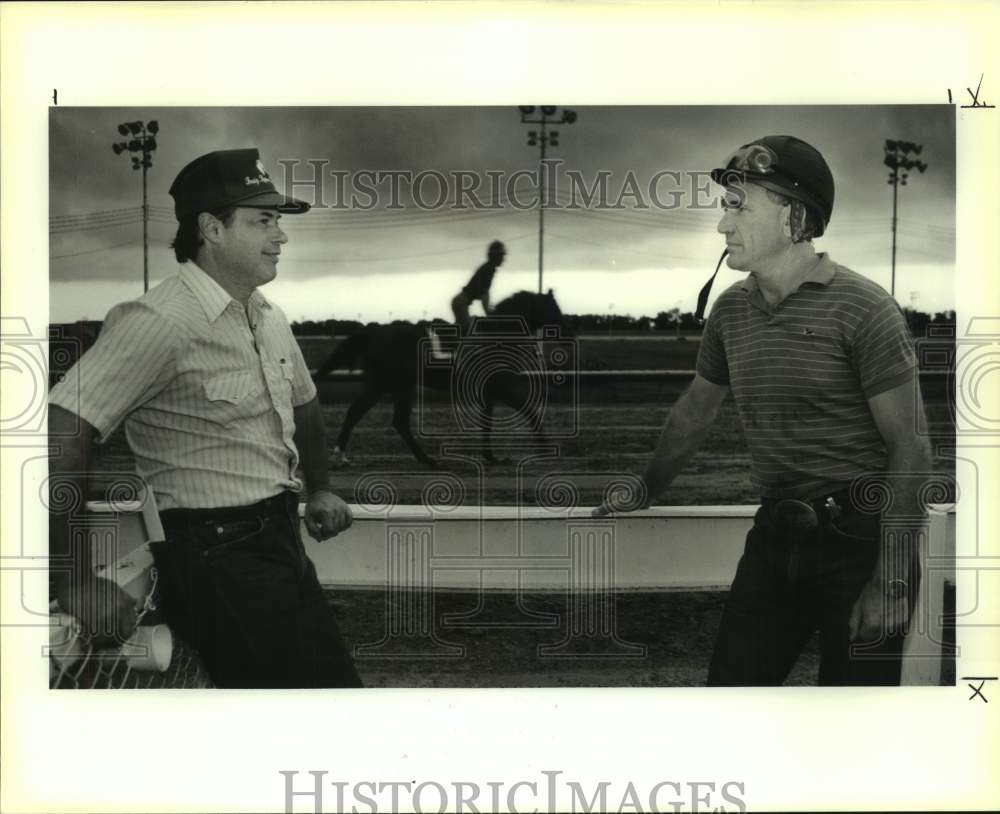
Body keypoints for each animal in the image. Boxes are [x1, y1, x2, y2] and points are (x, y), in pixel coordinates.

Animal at [316, 288, 576, 466]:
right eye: (554, 308)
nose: (569, 334)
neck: (499, 335)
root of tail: (374, 331)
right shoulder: (501, 389)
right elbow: (529, 412)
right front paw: (545, 448)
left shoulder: (490, 391)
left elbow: (488, 423)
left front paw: (491, 457)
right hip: (390, 384)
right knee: (369, 415)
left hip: (393, 385)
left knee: (382, 417)